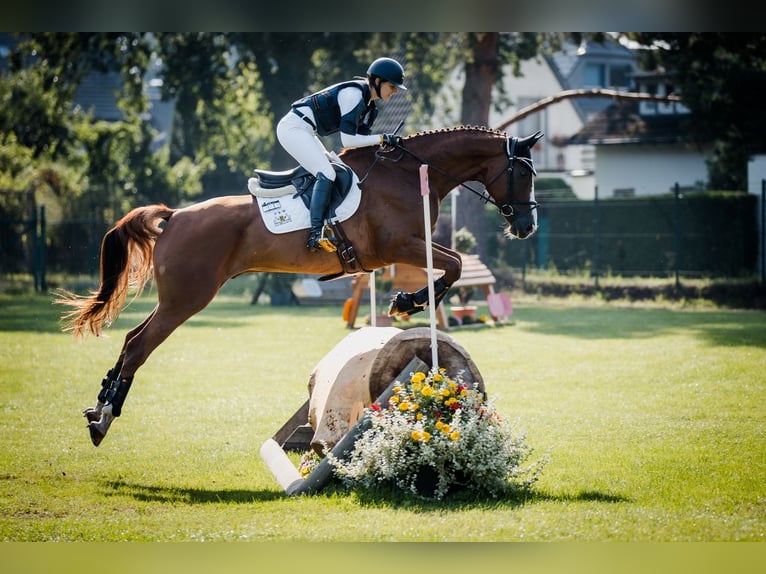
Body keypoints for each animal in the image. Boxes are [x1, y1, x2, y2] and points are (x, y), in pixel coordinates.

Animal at [57, 128, 544, 448]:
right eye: (523, 175)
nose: (526, 227)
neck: (410, 174)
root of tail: (174, 215)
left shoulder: (406, 248)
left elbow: (453, 267)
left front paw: (406, 302)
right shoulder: (398, 245)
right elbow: (455, 265)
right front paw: (407, 301)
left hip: (180, 299)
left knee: (131, 338)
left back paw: (99, 408)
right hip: (186, 299)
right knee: (140, 345)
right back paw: (104, 419)